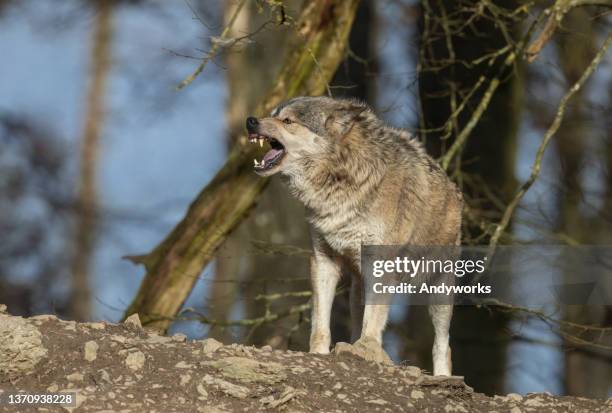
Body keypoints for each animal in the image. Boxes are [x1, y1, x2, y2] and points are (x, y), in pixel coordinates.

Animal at [246, 96, 462, 374]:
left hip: (439, 290)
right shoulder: (322, 260)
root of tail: (453, 187)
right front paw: (319, 354)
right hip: (357, 289)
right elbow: (321, 323)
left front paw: (366, 350)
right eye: (272, 115)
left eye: (287, 121)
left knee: (443, 345)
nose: (251, 121)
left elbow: (374, 321)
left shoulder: (381, 266)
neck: (341, 179)